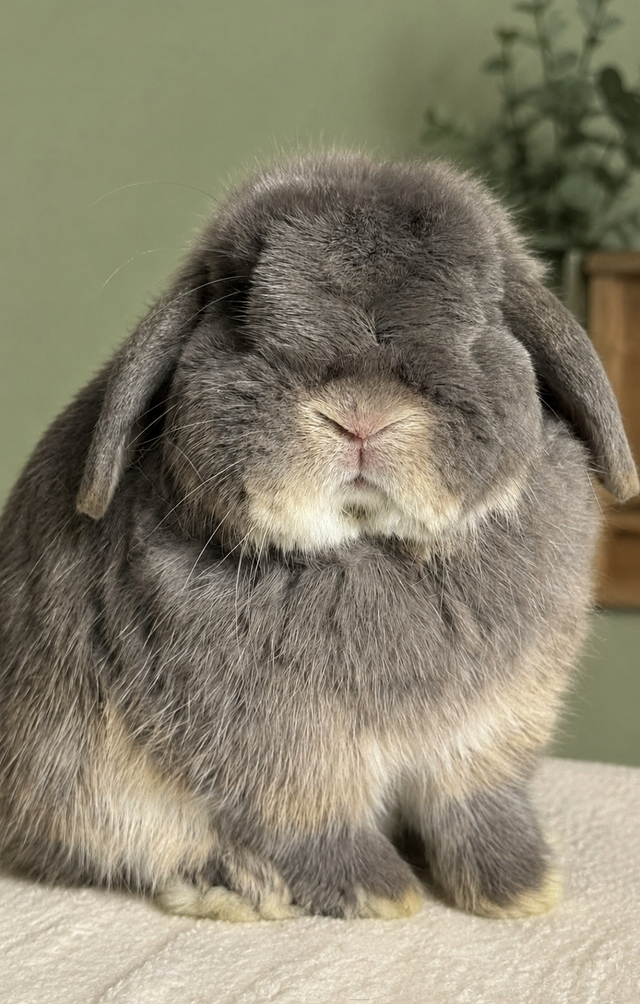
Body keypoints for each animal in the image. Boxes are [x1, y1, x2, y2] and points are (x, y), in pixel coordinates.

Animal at [0, 153, 637, 924]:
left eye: (484, 314)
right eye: (237, 305)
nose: (361, 417)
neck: (367, 544)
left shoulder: (496, 723)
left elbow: (478, 803)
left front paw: (519, 889)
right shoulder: (282, 741)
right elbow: (313, 816)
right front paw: (381, 891)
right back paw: (232, 884)